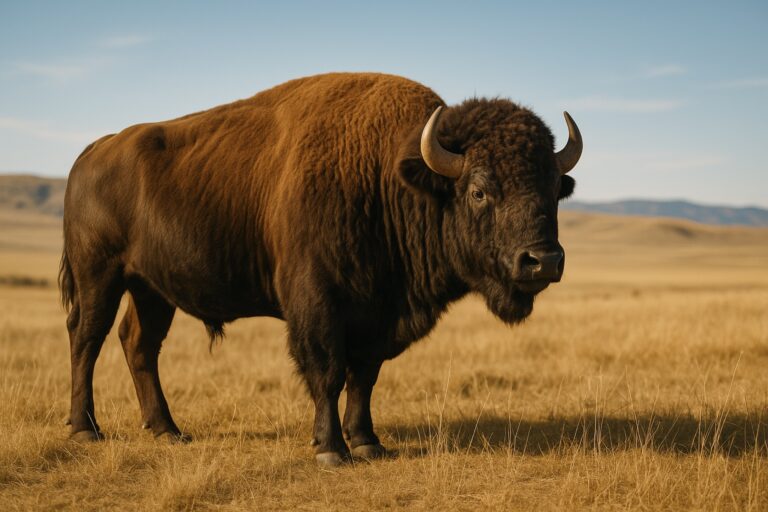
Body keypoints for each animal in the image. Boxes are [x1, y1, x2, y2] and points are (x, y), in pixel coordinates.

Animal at [59, 72, 582, 466]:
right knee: (87, 339)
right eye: (478, 190)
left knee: (139, 344)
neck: (388, 174)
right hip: (100, 275)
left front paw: (368, 443)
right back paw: (86, 430)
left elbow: (364, 377)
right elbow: (327, 371)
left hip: (151, 289)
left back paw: (167, 430)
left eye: (554, 188)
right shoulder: (317, 303)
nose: (542, 260)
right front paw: (331, 450)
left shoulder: (377, 315)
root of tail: (93, 151)